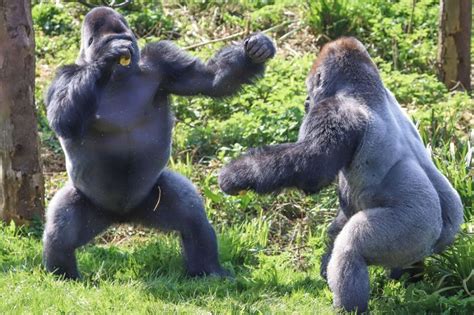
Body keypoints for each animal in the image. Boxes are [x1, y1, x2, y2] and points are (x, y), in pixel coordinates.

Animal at [42, 6, 276, 280]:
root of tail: (122, 217)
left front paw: (255, 52)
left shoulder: (163, 61)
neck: (118, 76)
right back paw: (63, 275)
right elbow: (63, 117)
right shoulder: (63, 76)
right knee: (60, 233)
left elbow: (211, 79)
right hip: (91, 204)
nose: (125, 48)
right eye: (112, 40)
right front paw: (106, 58)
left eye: (126, 36)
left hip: (152, 198)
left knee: (192, 219)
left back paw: (209, 270)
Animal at [219, 37, 462, 314]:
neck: (365, 87)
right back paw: (411, 281)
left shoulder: (334, 111)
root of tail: (443, 231)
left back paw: (348, 307)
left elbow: (311, 168)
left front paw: (238, 173)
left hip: (415, 226)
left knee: (350, 248)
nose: (306, 101)